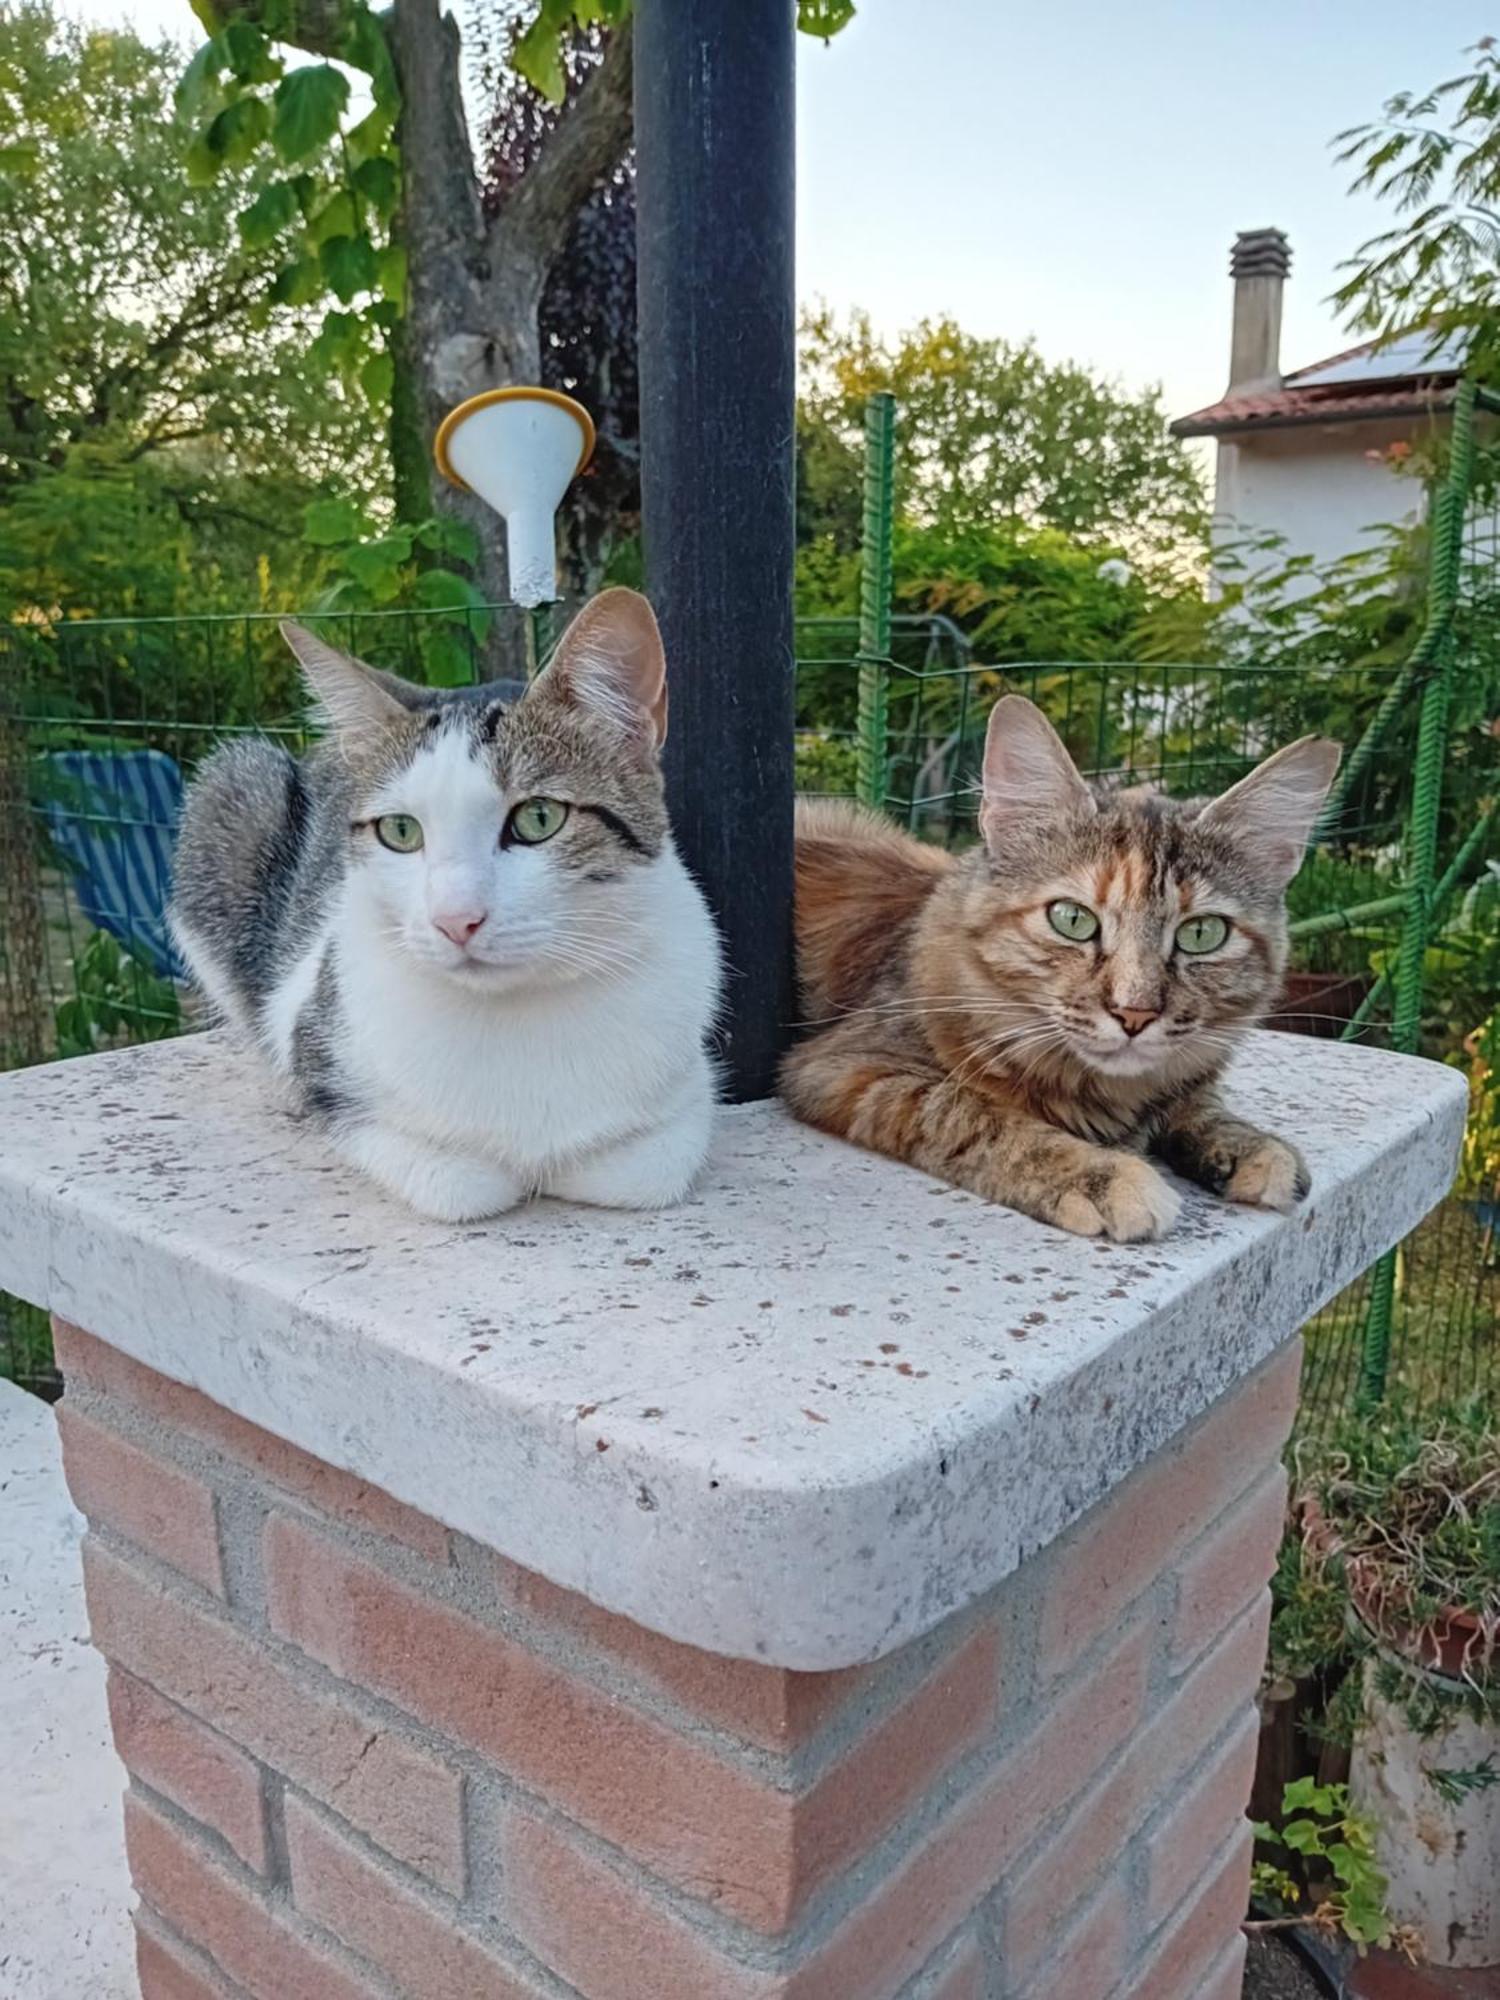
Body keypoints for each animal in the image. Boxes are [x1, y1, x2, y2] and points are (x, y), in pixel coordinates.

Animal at [170, 584, 724, 1216]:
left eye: (539, 818)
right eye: (400, 831)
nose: (456, 920)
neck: (517, 1018)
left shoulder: (688, 1084)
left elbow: (645, 1169)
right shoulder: (318, 1035)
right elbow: (458, 1182)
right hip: (232, 789)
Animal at [780, 696, 1344, 1240]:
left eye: (1201, 933)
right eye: (1072, 919)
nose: (1135, 1014)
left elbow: (1197, 1104)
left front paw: (1248, 1144)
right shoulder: (847, 1067)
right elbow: (976, 1115)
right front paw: (1101, 1174)